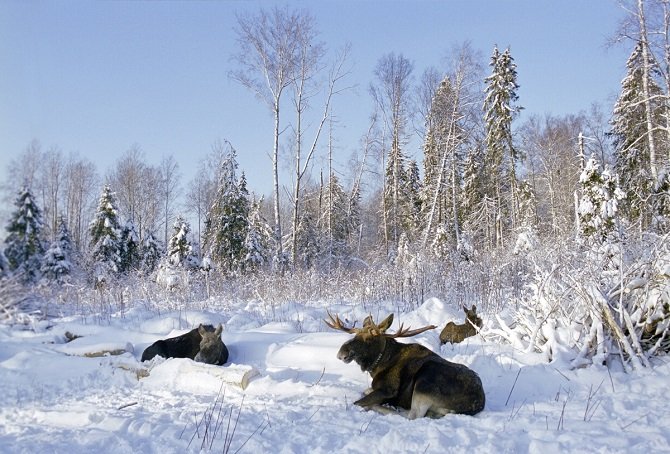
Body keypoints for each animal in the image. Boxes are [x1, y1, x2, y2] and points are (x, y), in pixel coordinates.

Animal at [328, 312, 486, 418]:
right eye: (355, 335)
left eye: (369, 339)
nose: (342, 353)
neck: (377, 365)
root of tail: (477, 402)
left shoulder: (387, 389)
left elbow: (358, 401)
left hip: (424, 381)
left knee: (412, 416)